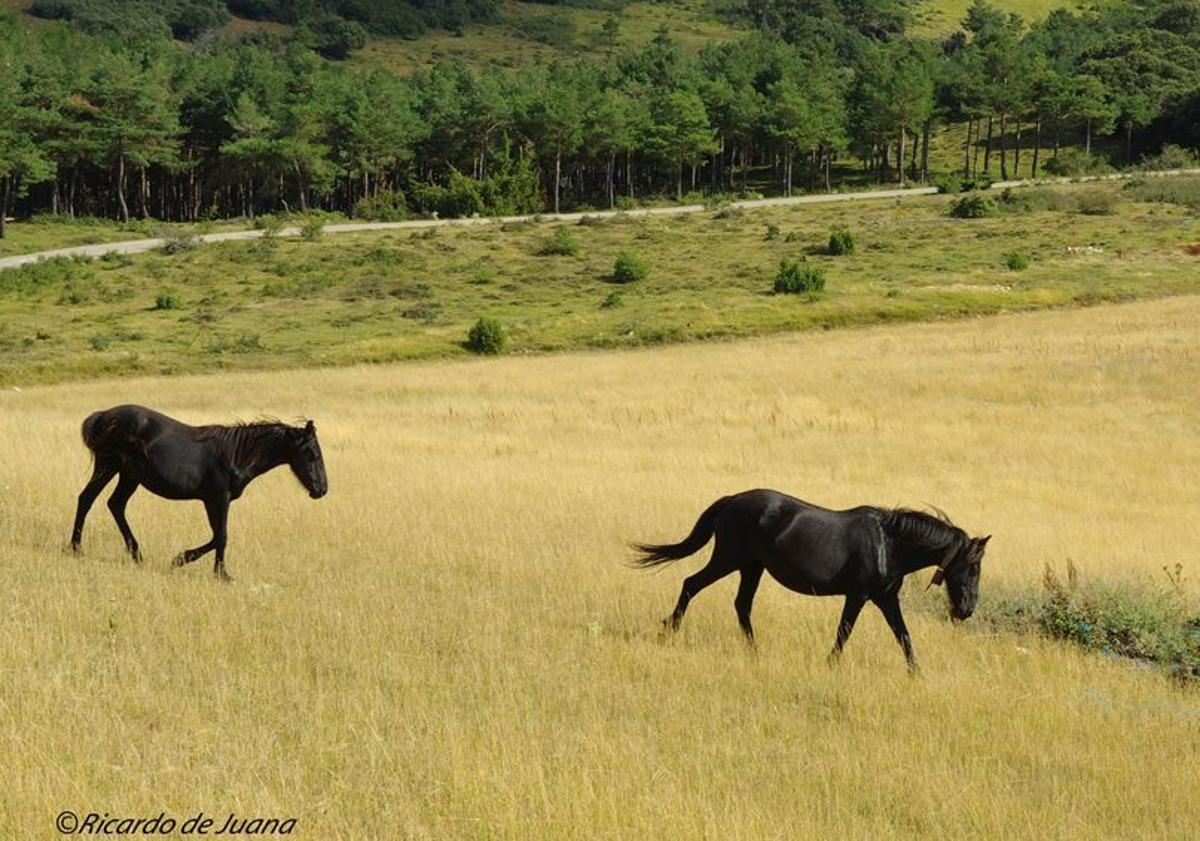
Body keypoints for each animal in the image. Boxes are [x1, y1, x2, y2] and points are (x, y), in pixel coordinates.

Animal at [72, 405, 331, 578]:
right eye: (311, 454)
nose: (322, 489)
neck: (236, 453)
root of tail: (103, 416)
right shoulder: (217, 498)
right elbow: (221, 536)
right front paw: (212, 571)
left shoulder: (216, 500)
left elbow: (217, 536)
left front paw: (195, 564)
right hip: (109, 465)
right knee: (87, 499)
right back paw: (76, 549)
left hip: (129, 475)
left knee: (115, 504)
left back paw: (136, 554)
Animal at [633, 484, 988, 667]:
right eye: (972, 567)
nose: (967, 610)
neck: (889, 544)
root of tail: (732, 500)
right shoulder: (858, 596)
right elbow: (844, 631)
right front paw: (831, 664)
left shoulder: (886, 598)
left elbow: (903, 636)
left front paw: (916, 674)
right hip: (729, 559)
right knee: (691, 584)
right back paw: (668, 631)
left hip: (751, 567)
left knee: (742, 605)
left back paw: (754, 652)